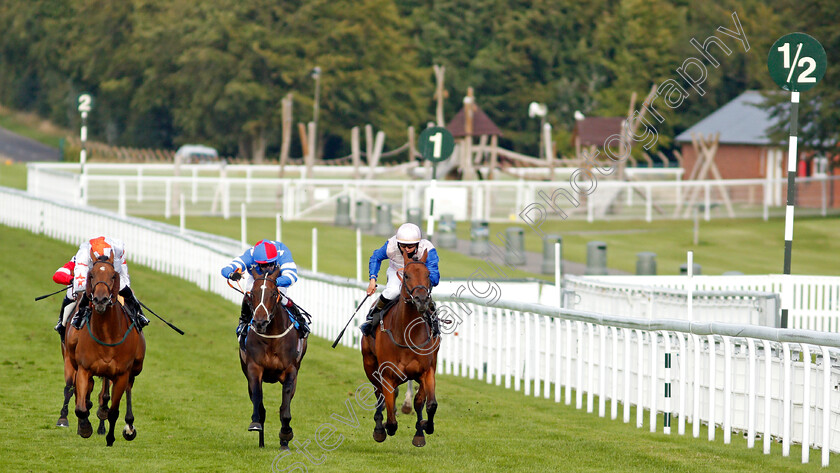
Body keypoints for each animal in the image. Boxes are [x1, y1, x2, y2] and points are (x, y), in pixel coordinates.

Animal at [64, 253, 146, 444]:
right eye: (91, 275)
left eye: (113, 276)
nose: (100, 300)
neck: (107, 335)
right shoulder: (84, 369)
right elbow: (81, 406)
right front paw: (85, 427)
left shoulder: (122, 374)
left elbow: (113, 411)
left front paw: (110, 437)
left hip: (135, 368)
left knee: (128, 387)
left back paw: (129, 426)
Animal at [238, 266, 306, 446]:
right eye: (252, 293)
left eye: (274, 293)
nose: (260, 322)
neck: (272, 338)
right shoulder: (254, 368)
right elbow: (257, 397)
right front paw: (255, 423)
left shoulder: (290, 370)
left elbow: (285, 405)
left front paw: (286, 433)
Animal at [360, 247, 440, 446]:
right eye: (406, 275)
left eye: (428, 274)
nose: (421, 300)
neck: (406, 334)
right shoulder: (387, 374)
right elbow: (390, 417)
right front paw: (383, 427)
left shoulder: (427, 371)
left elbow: (429, 404)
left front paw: (425, 427)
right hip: (369, 365)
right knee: (379, 394)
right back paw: (379, 427)